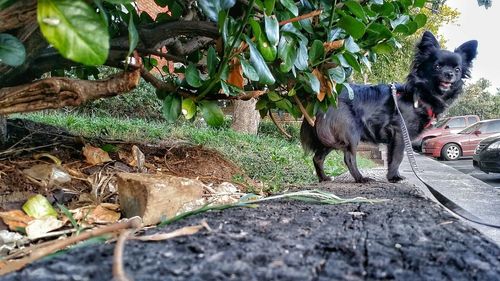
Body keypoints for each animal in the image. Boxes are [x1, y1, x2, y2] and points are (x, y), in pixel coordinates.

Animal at [300, 31, 476, 182]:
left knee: (317, 157)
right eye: (437, 66)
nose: (449, 74)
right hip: (350, 133)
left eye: (457, 69)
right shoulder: (400, 133)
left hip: (332, 138)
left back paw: (324, 178)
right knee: (348, 158)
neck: (419, 95)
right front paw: (394, 177)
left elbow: (391, 158)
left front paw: (391, 176)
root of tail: (325, 99)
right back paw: (360, 178)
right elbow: (397, 157)